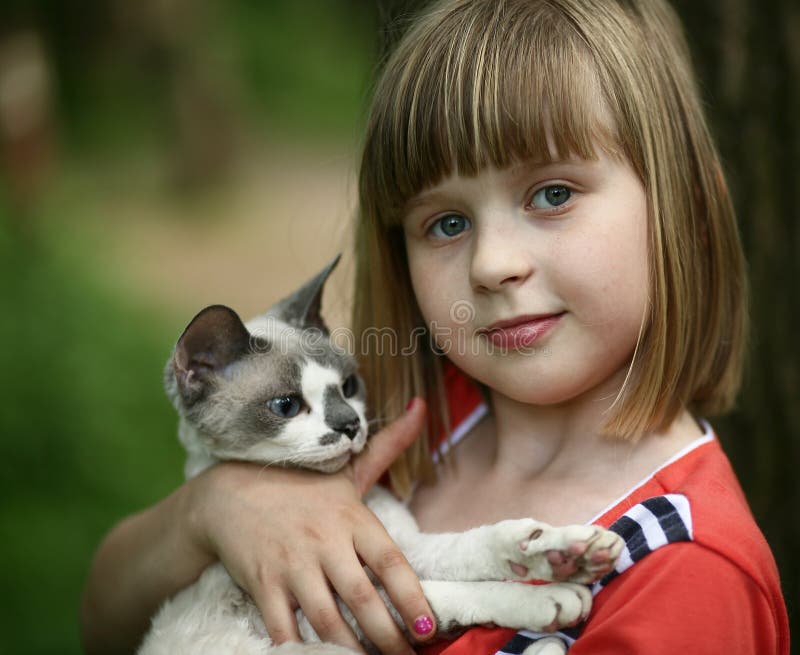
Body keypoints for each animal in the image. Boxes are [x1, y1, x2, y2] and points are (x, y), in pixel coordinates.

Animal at [139, 256, 624, 655]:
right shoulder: (325, 615)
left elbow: (481, 544)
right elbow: (439, 594)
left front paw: (567, 555)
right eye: (286, 406)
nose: (350, 425)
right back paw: (548, 642)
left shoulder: (403, 546)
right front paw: (550, 597)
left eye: (349, 386)